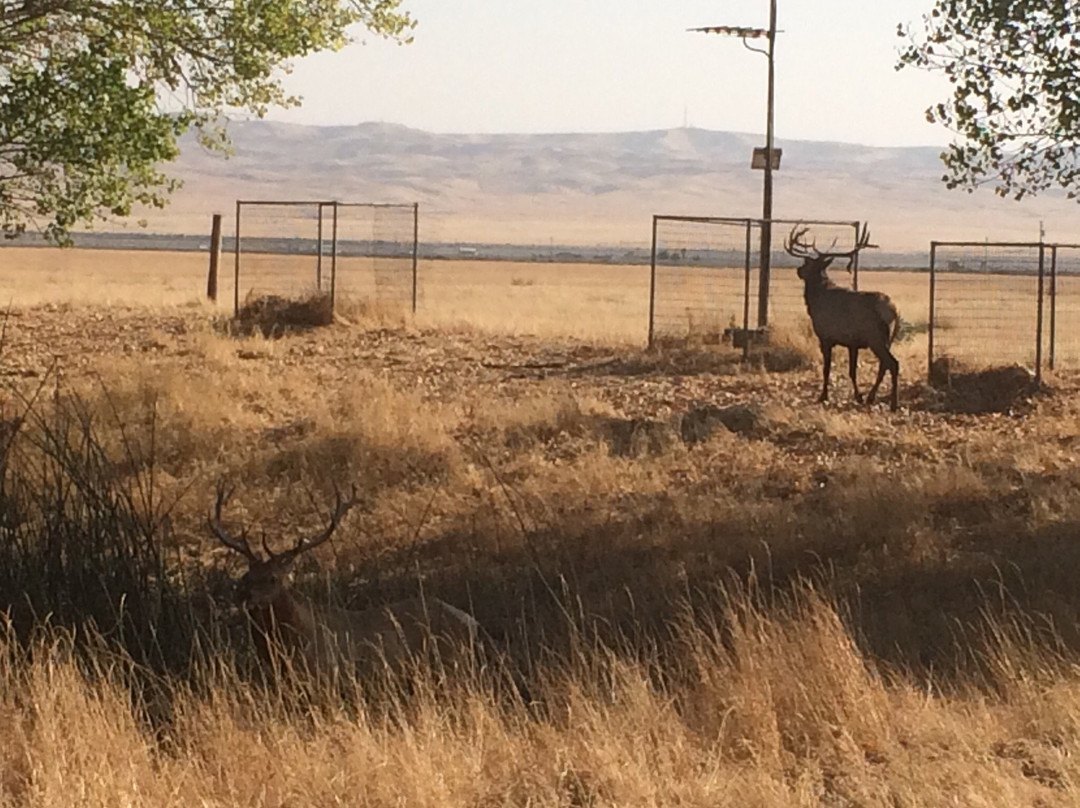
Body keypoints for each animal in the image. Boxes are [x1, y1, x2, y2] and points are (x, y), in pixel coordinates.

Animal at [786, 223, 902, 412]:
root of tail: (894, 311)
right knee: (884, 364)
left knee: (893, 363)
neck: (816, 299)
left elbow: (827, 368)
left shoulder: (825, 336)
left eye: (807, 263)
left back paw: (893, 403)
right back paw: (871, 397)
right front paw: (858, 396)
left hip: (875, 337)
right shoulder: (852, 342)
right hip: (888, 338)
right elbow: (852, 370)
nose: (798, 270)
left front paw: (823, 396)